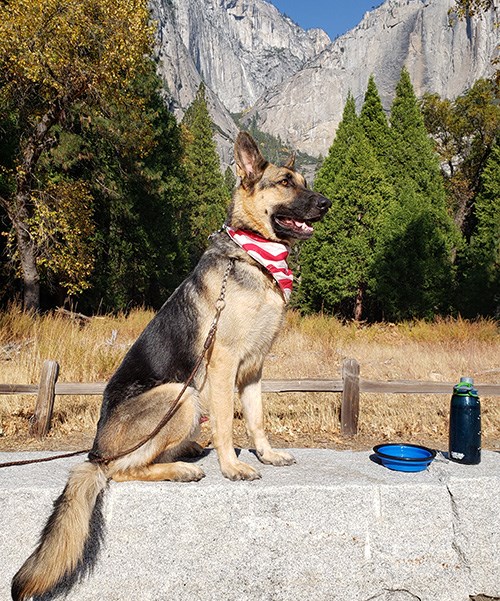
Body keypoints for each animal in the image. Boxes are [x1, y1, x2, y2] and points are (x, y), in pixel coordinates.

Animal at [11, 132, 330, 600]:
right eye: (286, 182)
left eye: (305, 182)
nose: (326, 203)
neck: (253, 255)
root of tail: (96, 450)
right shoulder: (224, 364)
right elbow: (226, 423)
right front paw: (231, 466)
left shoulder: (254, 368)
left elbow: (256, 419)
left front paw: (267, 453)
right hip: (180, 398)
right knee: (122, 470)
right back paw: (180, 468)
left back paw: (188, 451)